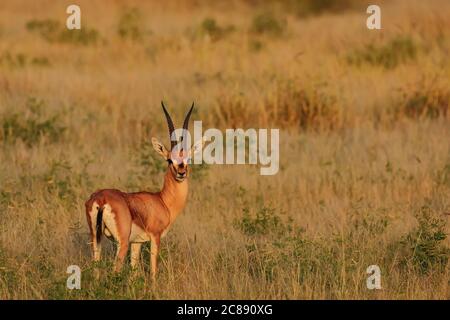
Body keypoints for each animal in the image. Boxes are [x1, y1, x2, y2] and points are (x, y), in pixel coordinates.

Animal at [84, 102, 206, 280]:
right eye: (169, 160)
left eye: (187, 159)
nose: (181, 173)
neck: (162, 201)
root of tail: (101, 199)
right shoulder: (155, 237)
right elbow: (153, 270)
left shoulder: (137, 243)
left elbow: (134, 271)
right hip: (122, 243)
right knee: (115, 270)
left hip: (95, 239)